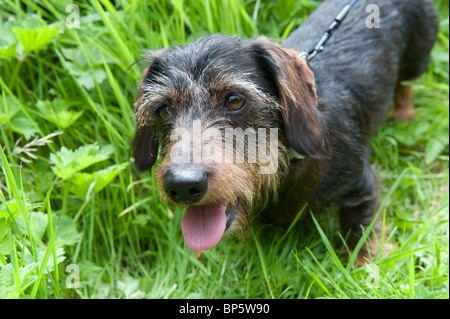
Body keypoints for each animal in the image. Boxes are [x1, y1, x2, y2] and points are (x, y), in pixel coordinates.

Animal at [132, 0, 438, 264]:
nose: (182, 185)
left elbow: (358, 228)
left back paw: (403, 113)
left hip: (418, 55)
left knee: (406, 85)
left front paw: (361, 265)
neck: (285, 164)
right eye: (163, 111)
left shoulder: (360, 183)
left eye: (234, 100)